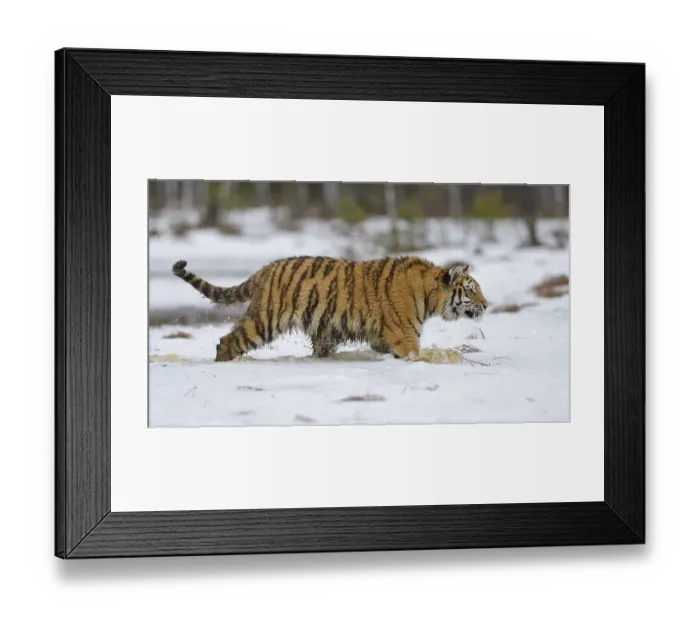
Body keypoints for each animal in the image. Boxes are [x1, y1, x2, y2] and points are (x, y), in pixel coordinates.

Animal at [171, 255, 488, 362]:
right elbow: (420, 355)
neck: (429, 293)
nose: (486, 305)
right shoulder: (405, 338)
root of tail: (263, 270)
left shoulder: (383, 338)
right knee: (227, 341)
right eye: (472, 289)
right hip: (264, 320)